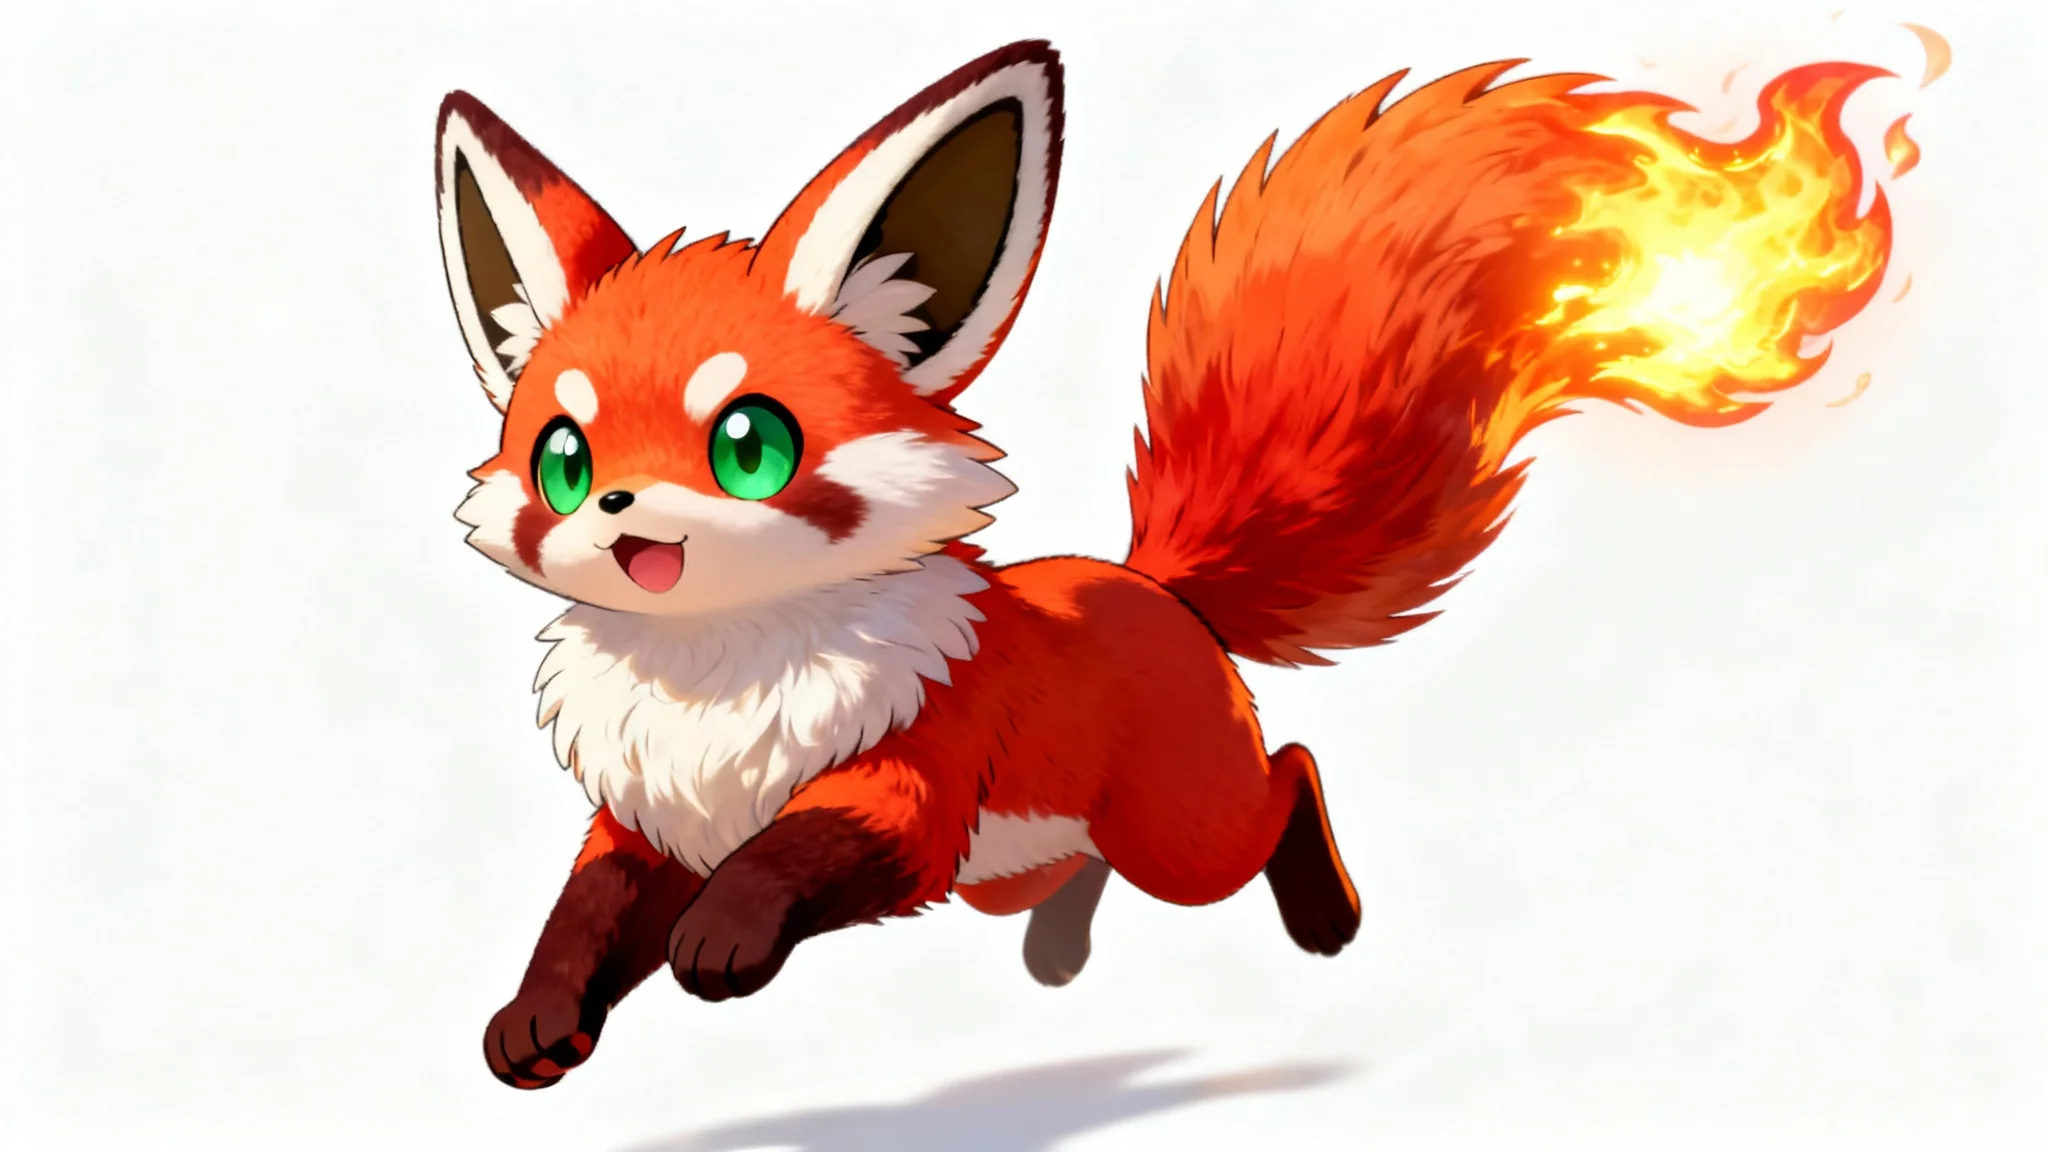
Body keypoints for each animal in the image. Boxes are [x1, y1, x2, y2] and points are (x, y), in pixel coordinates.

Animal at [435, 40, 1893, 1088]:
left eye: (748, 444)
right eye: (562, 457)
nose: (620, 506)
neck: (715, 701)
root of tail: (1158, 584)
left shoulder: (906, 796)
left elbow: (783, 860)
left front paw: (725, 938)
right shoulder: (643, 821)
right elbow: (579, 919)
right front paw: (535, 1017)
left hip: (1180, 833)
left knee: (1290, 775)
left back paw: (1324, 918)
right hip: (1018, 864)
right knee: (1084, 871)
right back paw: (1064, 949)